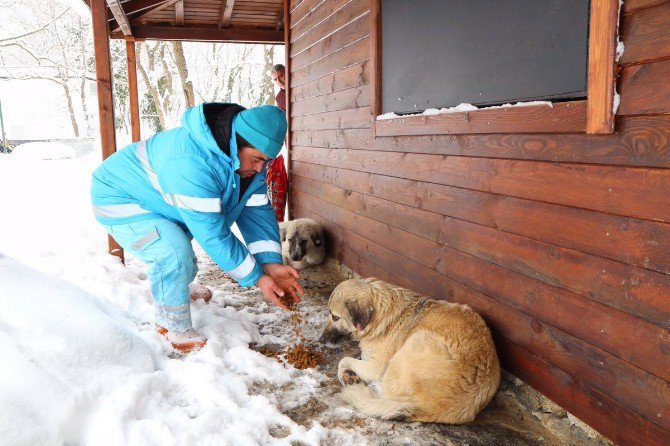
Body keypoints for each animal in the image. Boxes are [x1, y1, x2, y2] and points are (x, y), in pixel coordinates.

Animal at [322, 278, 504, 424]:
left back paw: (373, 386)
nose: (320, 340)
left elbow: (344, 360)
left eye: (335, 317)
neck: (381, 315)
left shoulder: (376, 367)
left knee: (388, 391)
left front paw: (345, 374)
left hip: (417, 341)